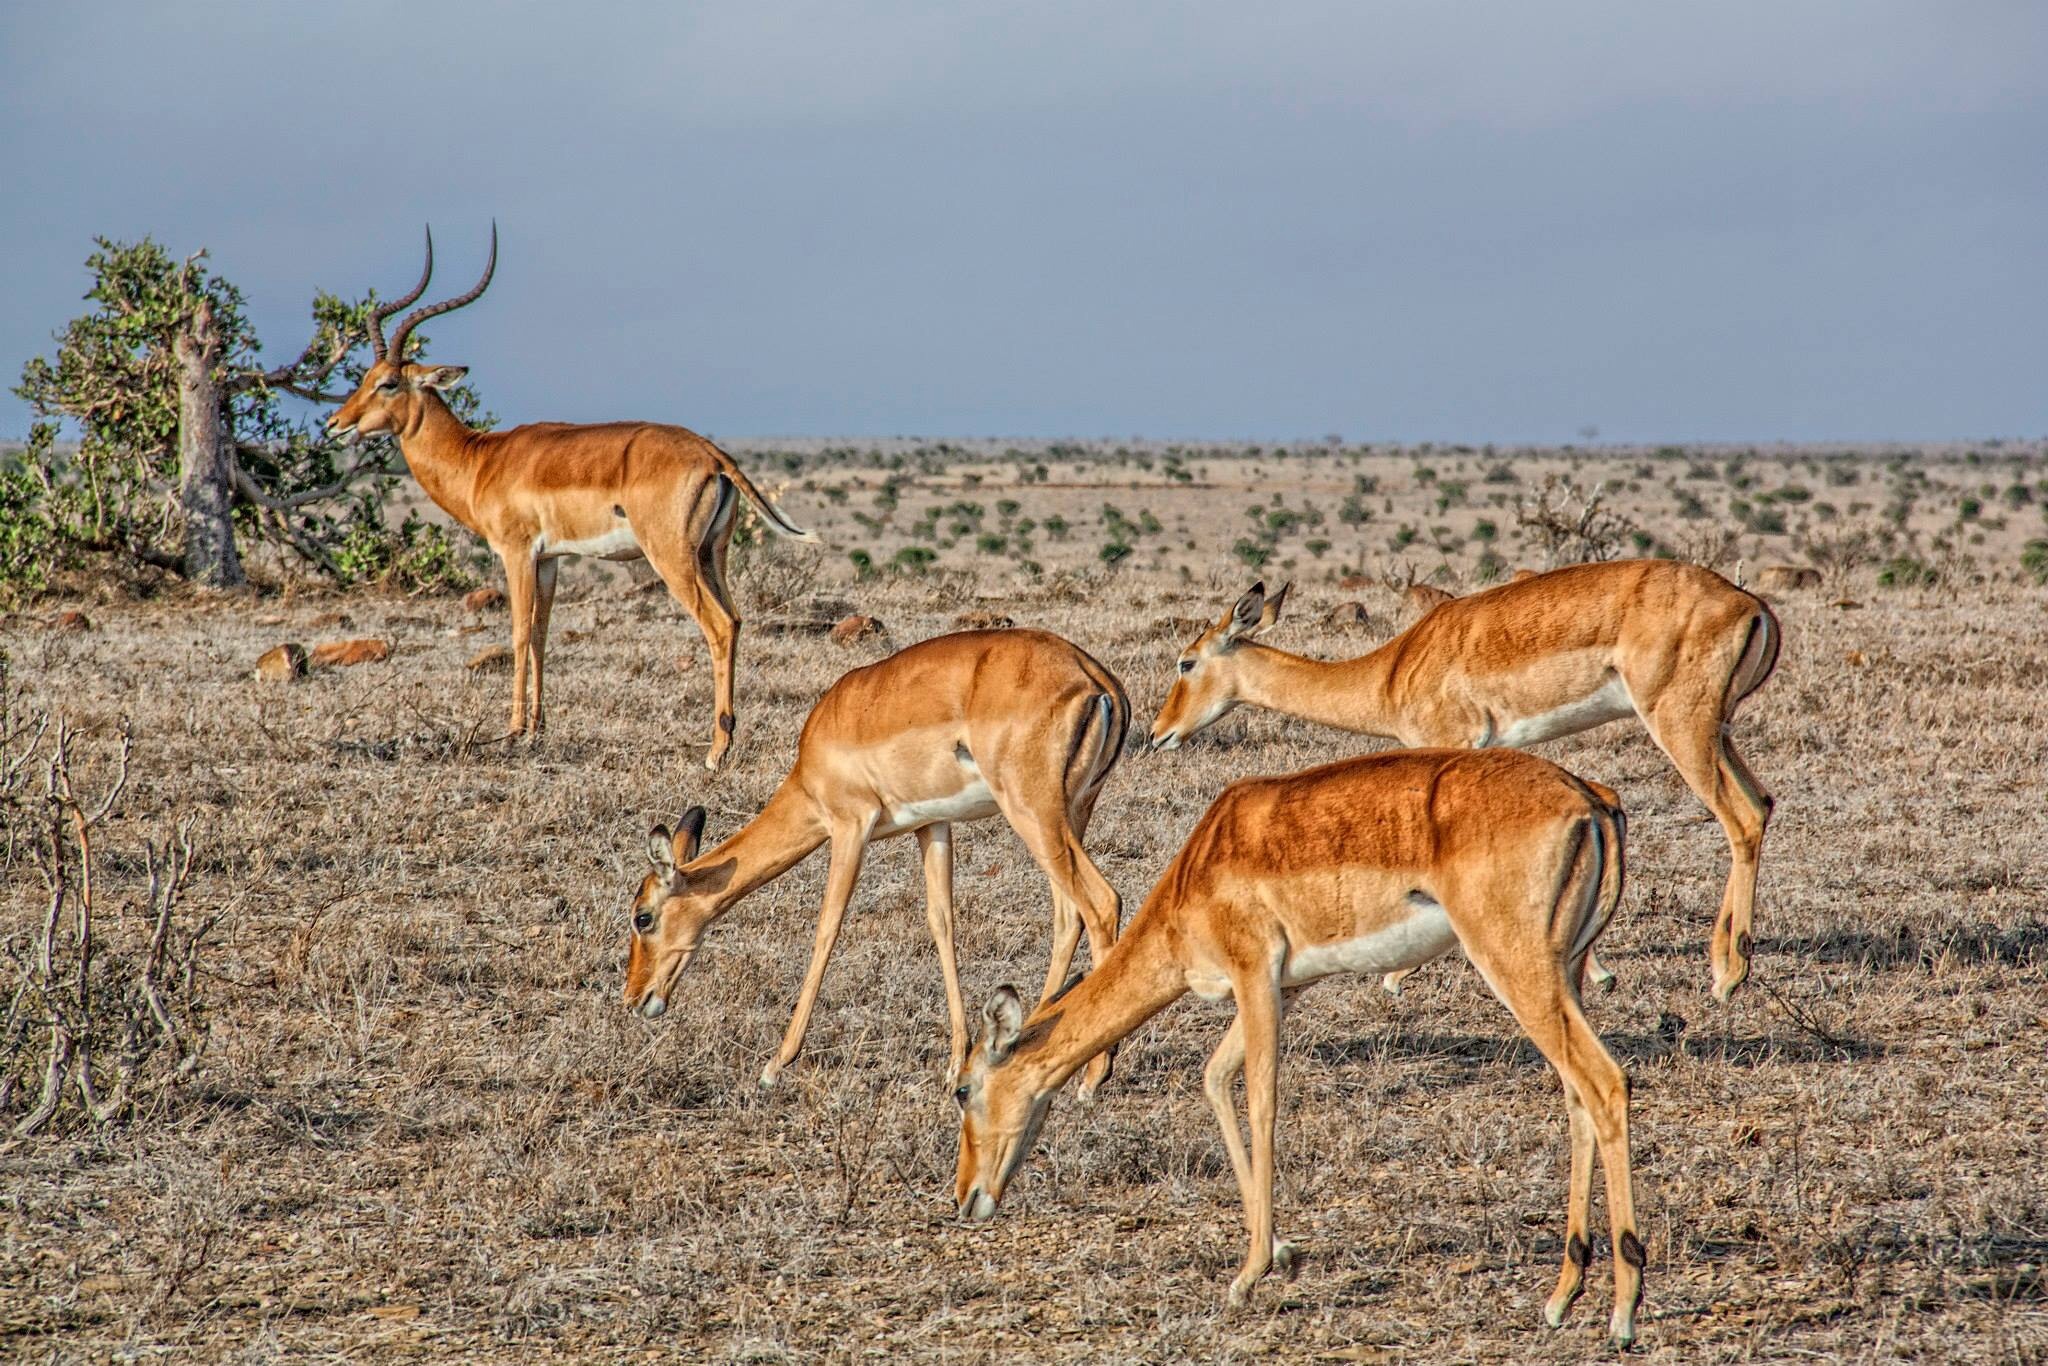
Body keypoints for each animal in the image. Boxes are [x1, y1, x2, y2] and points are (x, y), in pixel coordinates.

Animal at [325, 226, 814, 769]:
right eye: (365, 379)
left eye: (388, 383)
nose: (335, 423)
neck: (482, 459)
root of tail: (713, 454)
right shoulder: (549, 559)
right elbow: (541, 633)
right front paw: (537, 729)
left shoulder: (516, 553)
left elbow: (518, 632)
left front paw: (512, 730)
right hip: (713, 555)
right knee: (738, 619)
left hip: (672, 558)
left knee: (720, 625)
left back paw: (716, 750)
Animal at [625, 629, 1129, 1095]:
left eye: (642, 917)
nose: (635, 997)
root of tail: (1096, 679)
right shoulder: (933, 825)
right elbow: (942, 923)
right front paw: (954, 1064)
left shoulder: (850, 827)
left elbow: (827, 927)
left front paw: (775, 1064)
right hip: (1070, 814)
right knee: (1069, 916)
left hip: (1034, 815)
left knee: (1103, 902)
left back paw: (1092, 1076)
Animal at [951, 747, 1646, 1346]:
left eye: (962, 1089)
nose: (964, 1199)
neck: (1198, 870)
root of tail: (1593, 799)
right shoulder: (1287, 988)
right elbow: (1214, 1079)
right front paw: (1281, 1254)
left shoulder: (1254, 974)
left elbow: (1262, 1099)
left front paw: (1250, 1272)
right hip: (1563, 973)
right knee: (1576, 1093)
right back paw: (1563, 1294)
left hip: (1515, 965)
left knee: (1606, 1081)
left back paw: (1623, 1312)